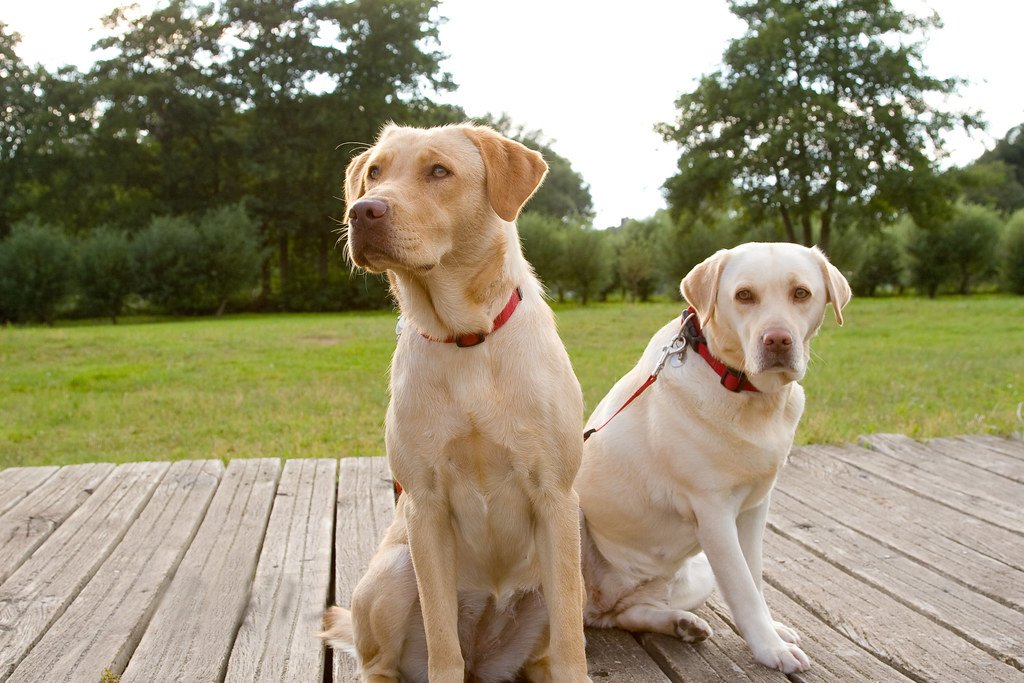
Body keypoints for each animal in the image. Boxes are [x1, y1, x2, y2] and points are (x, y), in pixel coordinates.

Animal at [319, 124, 593, 683]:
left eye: (439, 171)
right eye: (374, 172)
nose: (362, 211)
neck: (466, 337)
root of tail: (485, 656)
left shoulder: (556, 497)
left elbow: (570, 644)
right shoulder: (425, 505)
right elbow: (442, 639)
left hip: (559, 582)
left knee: (549, 646)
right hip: (391, 573)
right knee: (379, 661)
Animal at [577, 240, 847, 671]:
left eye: (801, 293)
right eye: (744, 296)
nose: (777, 340)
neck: (749, 394)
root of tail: (601, 604)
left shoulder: (754, 510)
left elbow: (755, 577)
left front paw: (773, 631)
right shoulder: (714, 515)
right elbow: (742, 587)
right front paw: (771, 649)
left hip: (693, 574)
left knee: (625, 614)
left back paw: (682, 624)